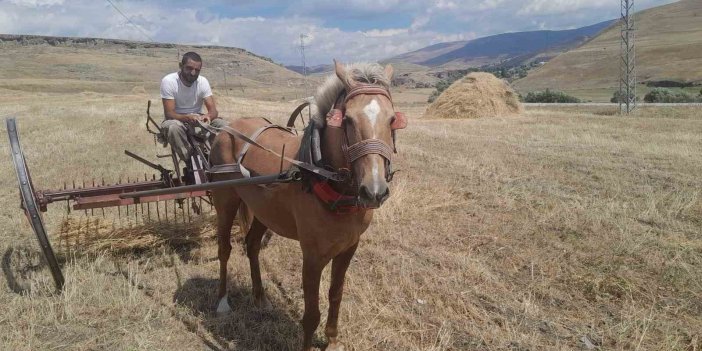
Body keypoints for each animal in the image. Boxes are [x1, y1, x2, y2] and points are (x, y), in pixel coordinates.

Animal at [209, 61, 408, 351]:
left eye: (392, 119)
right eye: (347, 120)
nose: (374, 191)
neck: (320, 174)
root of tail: (227, 128)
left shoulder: (349, 248)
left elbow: (336, 294)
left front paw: (333, 340)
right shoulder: (313, 257)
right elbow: (311, 313)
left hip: (264, 212)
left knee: (252, 245)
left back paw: (260, 296)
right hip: (225, 201)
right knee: (225, 249)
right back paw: (222, 300)